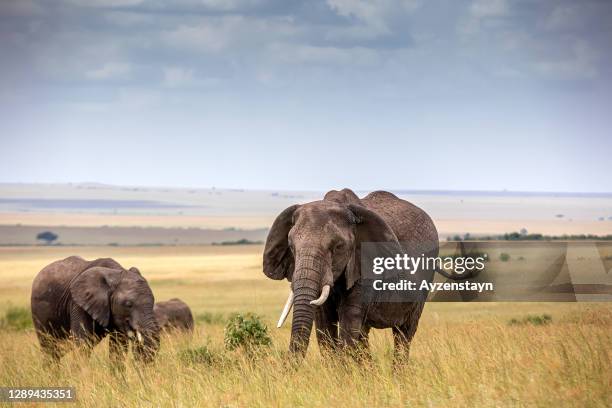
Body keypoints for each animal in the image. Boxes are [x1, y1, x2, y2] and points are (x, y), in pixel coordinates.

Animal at [30, 256, 160, 364]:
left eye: (153, 301)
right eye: (128, 304)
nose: (139, 344)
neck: (115, 273)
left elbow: (118, 346)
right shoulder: (78, 303)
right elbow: (83, 344)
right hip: (39, 312)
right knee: (49, 348)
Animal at [262, 188, 440, 356]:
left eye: (338, 247)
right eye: (291, 247)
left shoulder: (365, 267)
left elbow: (348, 324)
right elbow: (324, 326)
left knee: (403, 334)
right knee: (364, 334)